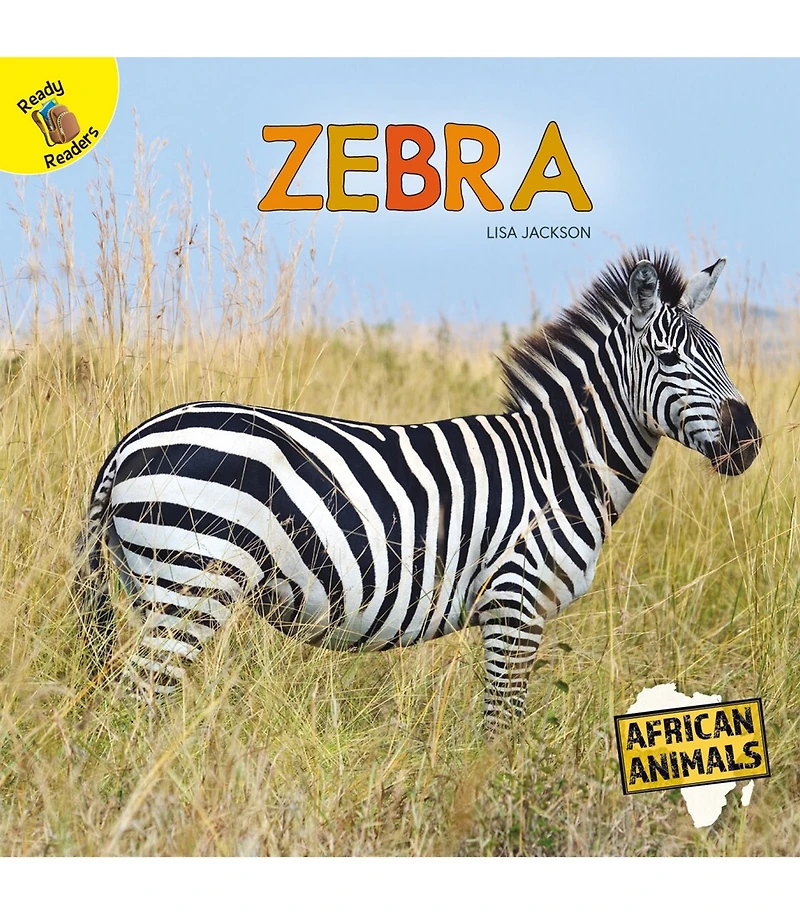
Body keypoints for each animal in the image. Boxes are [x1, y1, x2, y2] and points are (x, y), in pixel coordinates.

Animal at [74, 249, 761, 728]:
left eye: (720, 352)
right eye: (670, 357)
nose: (749, 440)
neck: (559, 467)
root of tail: (130, 441)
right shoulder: (515, 604)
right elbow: (501, 729)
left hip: (152, 586)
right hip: (191, 583)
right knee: (135, 705)